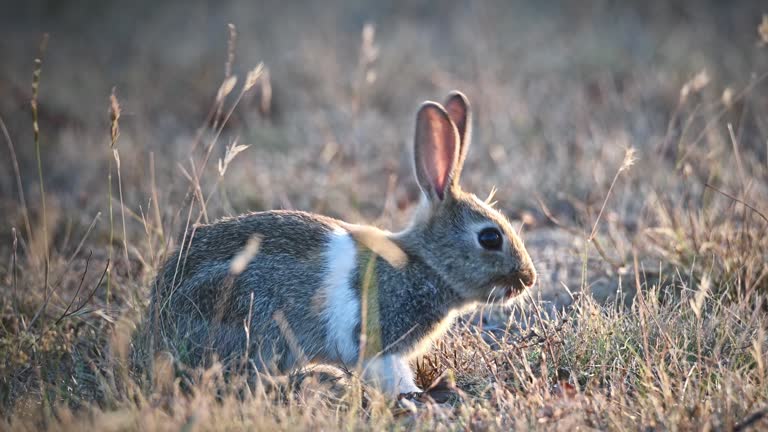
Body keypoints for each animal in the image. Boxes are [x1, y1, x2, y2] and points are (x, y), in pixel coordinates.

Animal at [148, 91, 537, 396]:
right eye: (490, 237)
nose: (528, 279)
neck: (424, 265)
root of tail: (153, 331)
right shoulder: (377, 343)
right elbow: (390, 374)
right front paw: (414, 397)